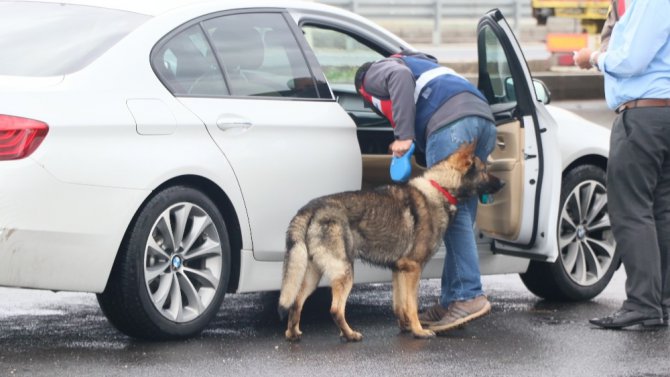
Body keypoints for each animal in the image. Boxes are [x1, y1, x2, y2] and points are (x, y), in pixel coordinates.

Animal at [276, 142, 502, 340]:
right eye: (484, 170)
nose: (503, 183)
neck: (440, 187)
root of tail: (310, 208)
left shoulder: (399, 270)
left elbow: (400, 305)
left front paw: (406, 328)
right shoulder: (413, 269)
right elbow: (411, 305)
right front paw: (419, 331)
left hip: (313, 275)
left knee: (296, 302)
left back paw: (293, 334)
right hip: (344, 272)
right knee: (335, 310)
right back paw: (349, 335)